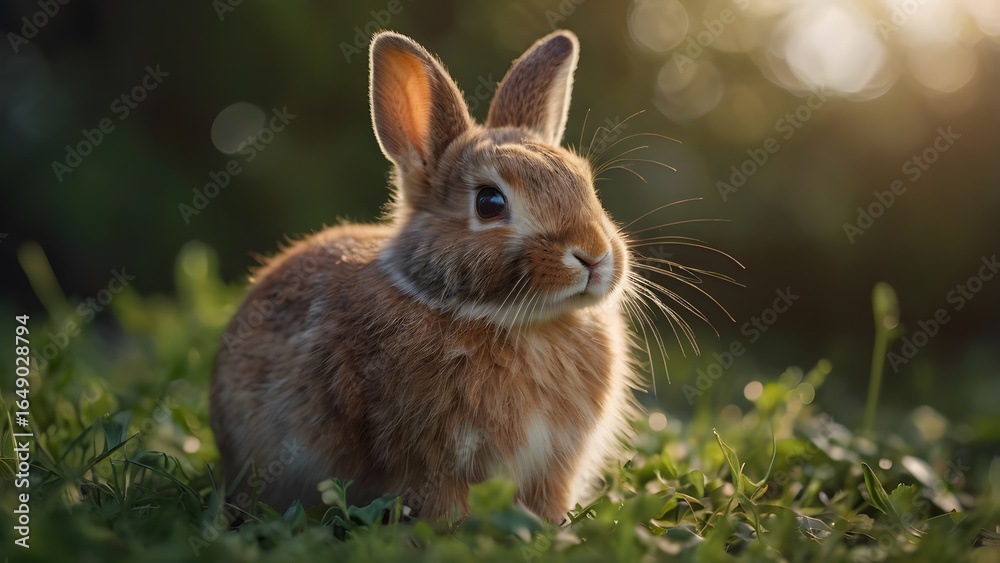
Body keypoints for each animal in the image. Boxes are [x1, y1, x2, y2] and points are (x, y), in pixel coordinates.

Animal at [210, 29, 645, 524]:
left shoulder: (554, 468)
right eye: (489, 203)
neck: (512, 320)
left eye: (585, 183)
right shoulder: (433, 465)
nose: (593, 256)